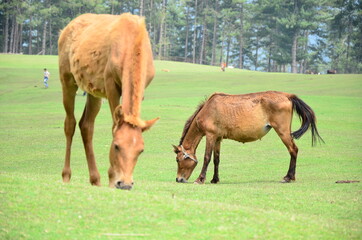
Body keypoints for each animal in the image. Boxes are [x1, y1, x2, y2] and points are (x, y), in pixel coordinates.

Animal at [59, 13, 158, 190]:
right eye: (116, 146)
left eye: (141, 150)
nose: (125, 184)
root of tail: (66, 29)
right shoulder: (111, 84)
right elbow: (114, 126)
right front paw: (112, 177)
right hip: (67, 79)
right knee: (70, 123)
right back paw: (66, 175)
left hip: (93, 91)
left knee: (86, 125)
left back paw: (95, 178)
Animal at [174, 91, 324, 184]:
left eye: (178, 160)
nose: (178, 179)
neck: (208, 109)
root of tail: (287, 96)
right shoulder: (218, 138)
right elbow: (216, 159)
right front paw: (215, 179)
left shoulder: (210, 136)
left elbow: (207, 158)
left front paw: (200, 179)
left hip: (283, 132)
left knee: (293, 150)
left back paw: (288, 177)